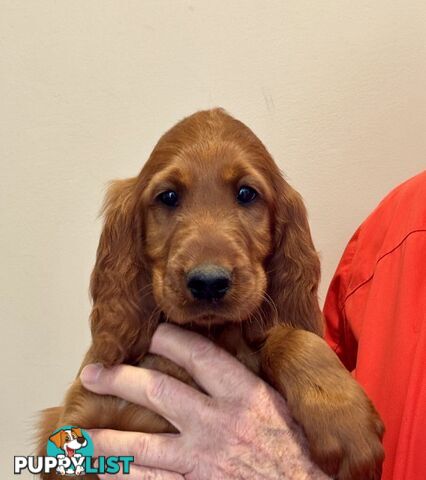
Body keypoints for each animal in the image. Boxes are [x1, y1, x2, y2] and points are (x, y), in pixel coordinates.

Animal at [35, 109, 382, 480]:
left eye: (246, 193)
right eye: (168, 196)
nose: (208, 283)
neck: (209, 332)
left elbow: (292, 337)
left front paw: (345, 423)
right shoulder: (76, 421)